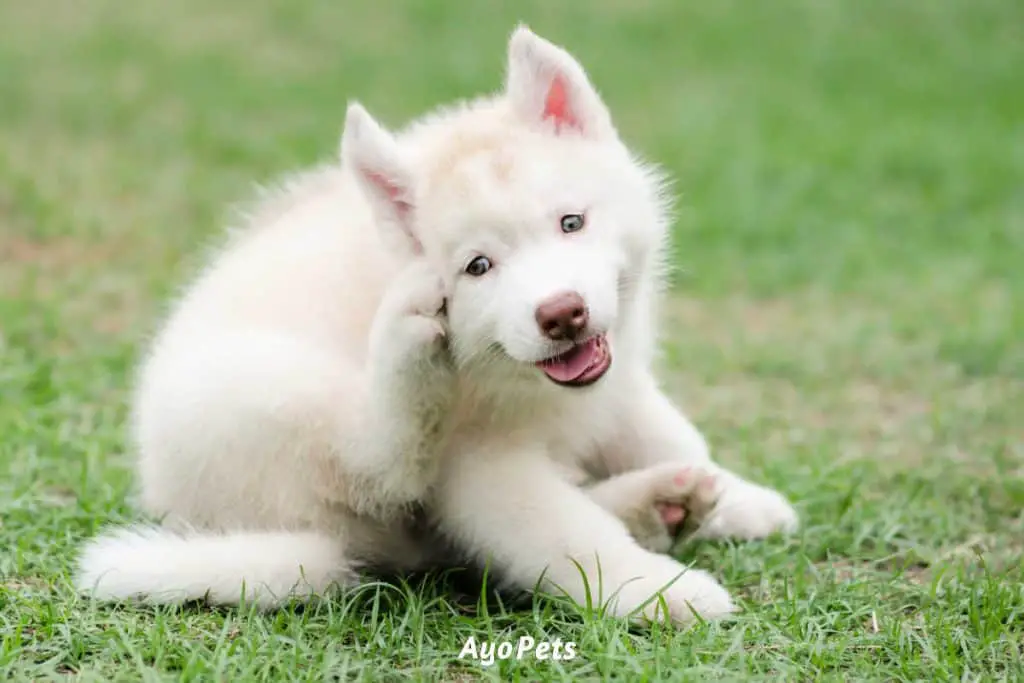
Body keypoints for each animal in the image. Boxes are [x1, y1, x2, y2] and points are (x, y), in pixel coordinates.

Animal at [77, 25, 798, 626]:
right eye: (478, 267)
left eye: (571, 222)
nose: (561, 313)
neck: (520, 381)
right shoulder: (480, 464)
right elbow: (566, 534)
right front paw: (660, 590)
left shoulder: (616, 381)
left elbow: (669, 433)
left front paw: (739, 497)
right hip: (262, 391)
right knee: (382, 465)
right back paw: (408, 353)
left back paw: (659, 504)